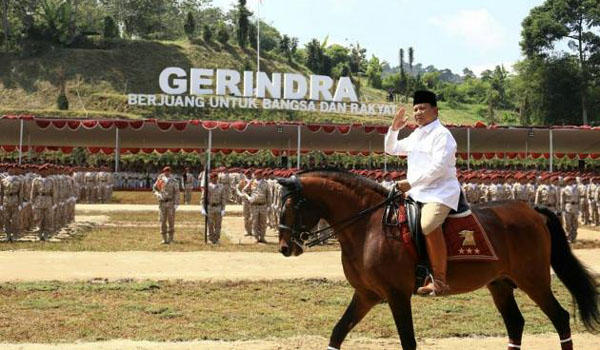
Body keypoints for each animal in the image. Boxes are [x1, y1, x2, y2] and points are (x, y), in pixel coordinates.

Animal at [278, 169, 600, 348]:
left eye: (293, 205)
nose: (284, 247)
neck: (368, 226)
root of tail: (531, 210)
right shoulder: (366, 295)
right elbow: (338, 332)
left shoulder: (396, 295)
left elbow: (408, 341)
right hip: (500, 284)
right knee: (516, 325)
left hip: (534, 280)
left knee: (560, 318)